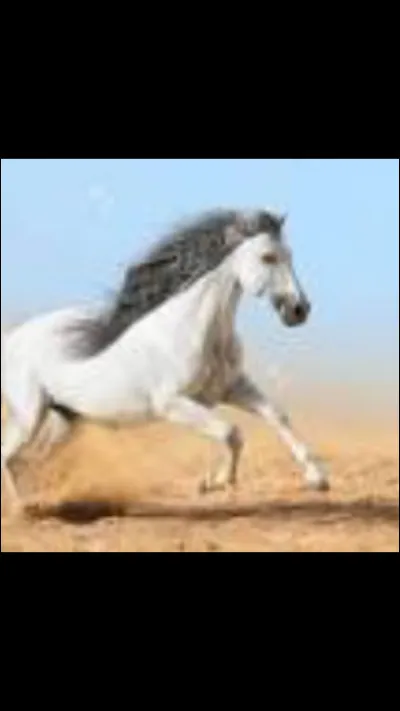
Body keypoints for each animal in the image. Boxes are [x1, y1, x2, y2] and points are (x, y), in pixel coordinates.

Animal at [1, 208, 329, 514]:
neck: (195, 329)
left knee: (31, 459)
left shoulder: (232, 388)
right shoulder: (172, 404)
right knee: (8, 454)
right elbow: (230, 432)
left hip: (65, 421)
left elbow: (277, 415)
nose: (299, 310)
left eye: (290, 255)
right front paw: (214, 482)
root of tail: (11, 339)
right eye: (268, 257)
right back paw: (24, 509)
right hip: (30, 416)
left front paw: (318, 479)